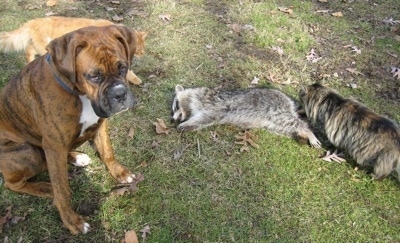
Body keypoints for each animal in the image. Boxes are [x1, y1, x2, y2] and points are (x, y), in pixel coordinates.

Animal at [0, 25, 138, 234]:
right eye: (94, 76)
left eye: (123, 68)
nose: (120, 93)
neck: (79, 93)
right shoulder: (54, 145)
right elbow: (62, 189)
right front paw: (72, 220)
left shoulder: (99, 124)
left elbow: (107, 151)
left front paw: (120, 172)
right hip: (28, 151)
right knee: (13, 184)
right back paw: (46, 188)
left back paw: (76, 157)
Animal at [172, 83, 322, 148]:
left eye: (176, 105)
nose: (173, 119)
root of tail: (287, 99)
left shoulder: (212, 105)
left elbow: (205, 117)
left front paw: (186, 124)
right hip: (272, 123)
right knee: (285, 128)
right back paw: (301, 134)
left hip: (276, 110)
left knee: (293, 122)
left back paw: (308, 132)